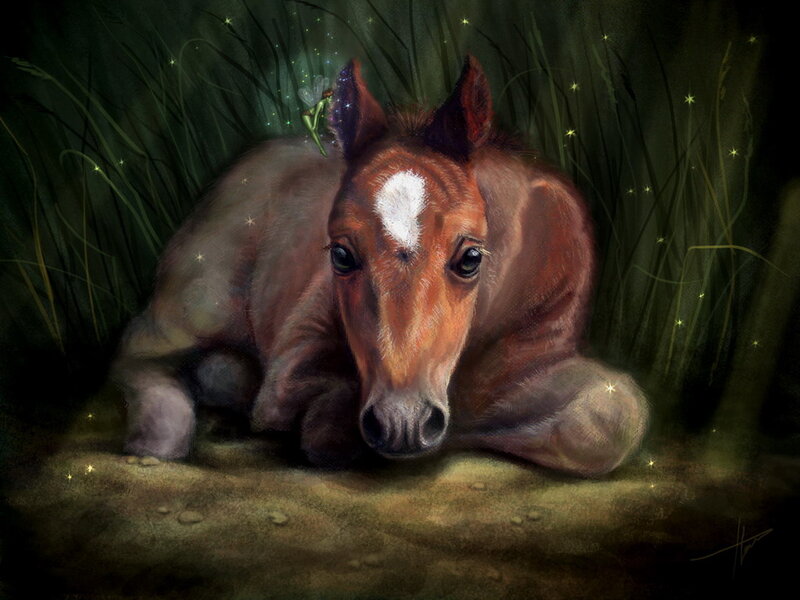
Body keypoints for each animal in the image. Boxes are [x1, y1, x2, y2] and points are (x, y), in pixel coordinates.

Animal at [113, 56, 648, 476]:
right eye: (340, 255)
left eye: (471, 257)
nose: (402, 424)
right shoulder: (294, 362)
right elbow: (316, 419)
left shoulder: (538, 359)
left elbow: (614, 415)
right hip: (190, 307)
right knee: (138, 354)